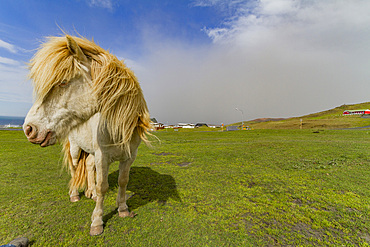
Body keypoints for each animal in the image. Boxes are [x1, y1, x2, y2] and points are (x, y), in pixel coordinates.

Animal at [23, 34, 152, 235]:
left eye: (63, 82)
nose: (29, 129)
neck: (117, 128)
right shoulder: (102, 156)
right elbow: (102, 187)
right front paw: (97, 222)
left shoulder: (129, 157)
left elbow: (123, 181)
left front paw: (123, 209)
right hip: (76, 151)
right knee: (75, 169)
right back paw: (75, 194)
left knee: (89, 167)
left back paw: (90, 192)